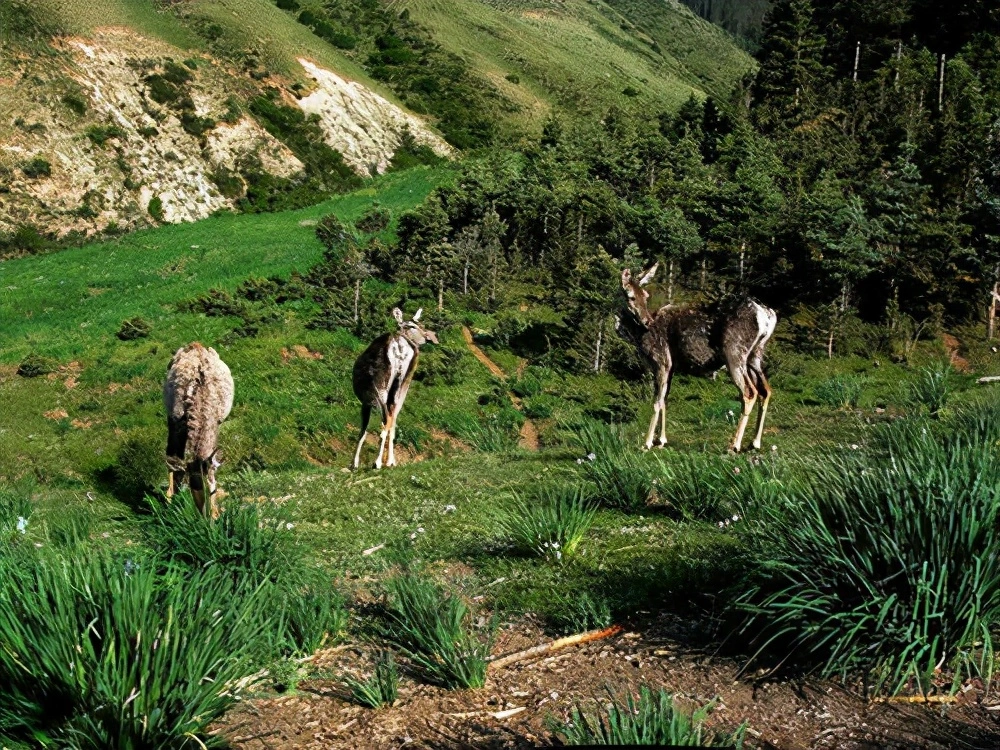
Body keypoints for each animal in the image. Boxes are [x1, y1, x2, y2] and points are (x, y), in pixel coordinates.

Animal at [354, 306, 440, 470]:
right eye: (413, 325)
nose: (429, 337)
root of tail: (399, 347)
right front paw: (391, 461)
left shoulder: (366, 401)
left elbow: (363, 431)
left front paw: (354, 464)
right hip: (402, 384)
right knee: (392, 419)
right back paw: (388, 461)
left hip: (381, 387)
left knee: (385, 420)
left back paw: (377, 462)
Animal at [616, 264, 780, 452]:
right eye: (631, 296)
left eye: (645, 296)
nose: (647, 321)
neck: (637, 336)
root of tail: (767, 315)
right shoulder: (671, 366)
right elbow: (665, 399)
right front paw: (661, 440)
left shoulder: (661, 360)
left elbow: (657, 401)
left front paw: (647, 442)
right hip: (755, 355)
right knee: (765, 390)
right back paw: (754, 442)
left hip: (734, 352)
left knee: (749, 392)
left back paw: (734, 445)